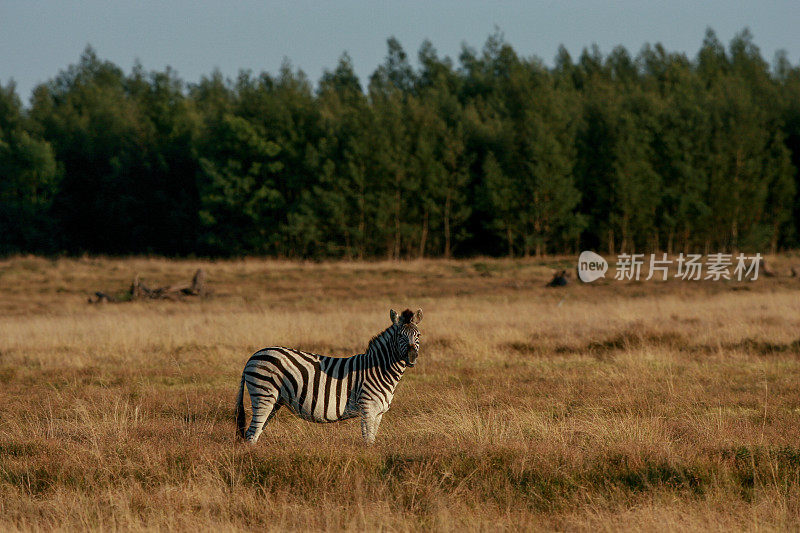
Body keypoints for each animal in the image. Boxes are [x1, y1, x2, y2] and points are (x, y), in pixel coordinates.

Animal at [234, 306, 422, 442]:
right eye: (399, 336)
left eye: (418, 335)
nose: (412, 356)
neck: (379, 369)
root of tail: (253, 356)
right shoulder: (368, 408)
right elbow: (368, 441)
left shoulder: (378, 413)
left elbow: (372, 439)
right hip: (263, 394)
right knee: (251, 434)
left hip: (275, 401)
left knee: (256, 432)